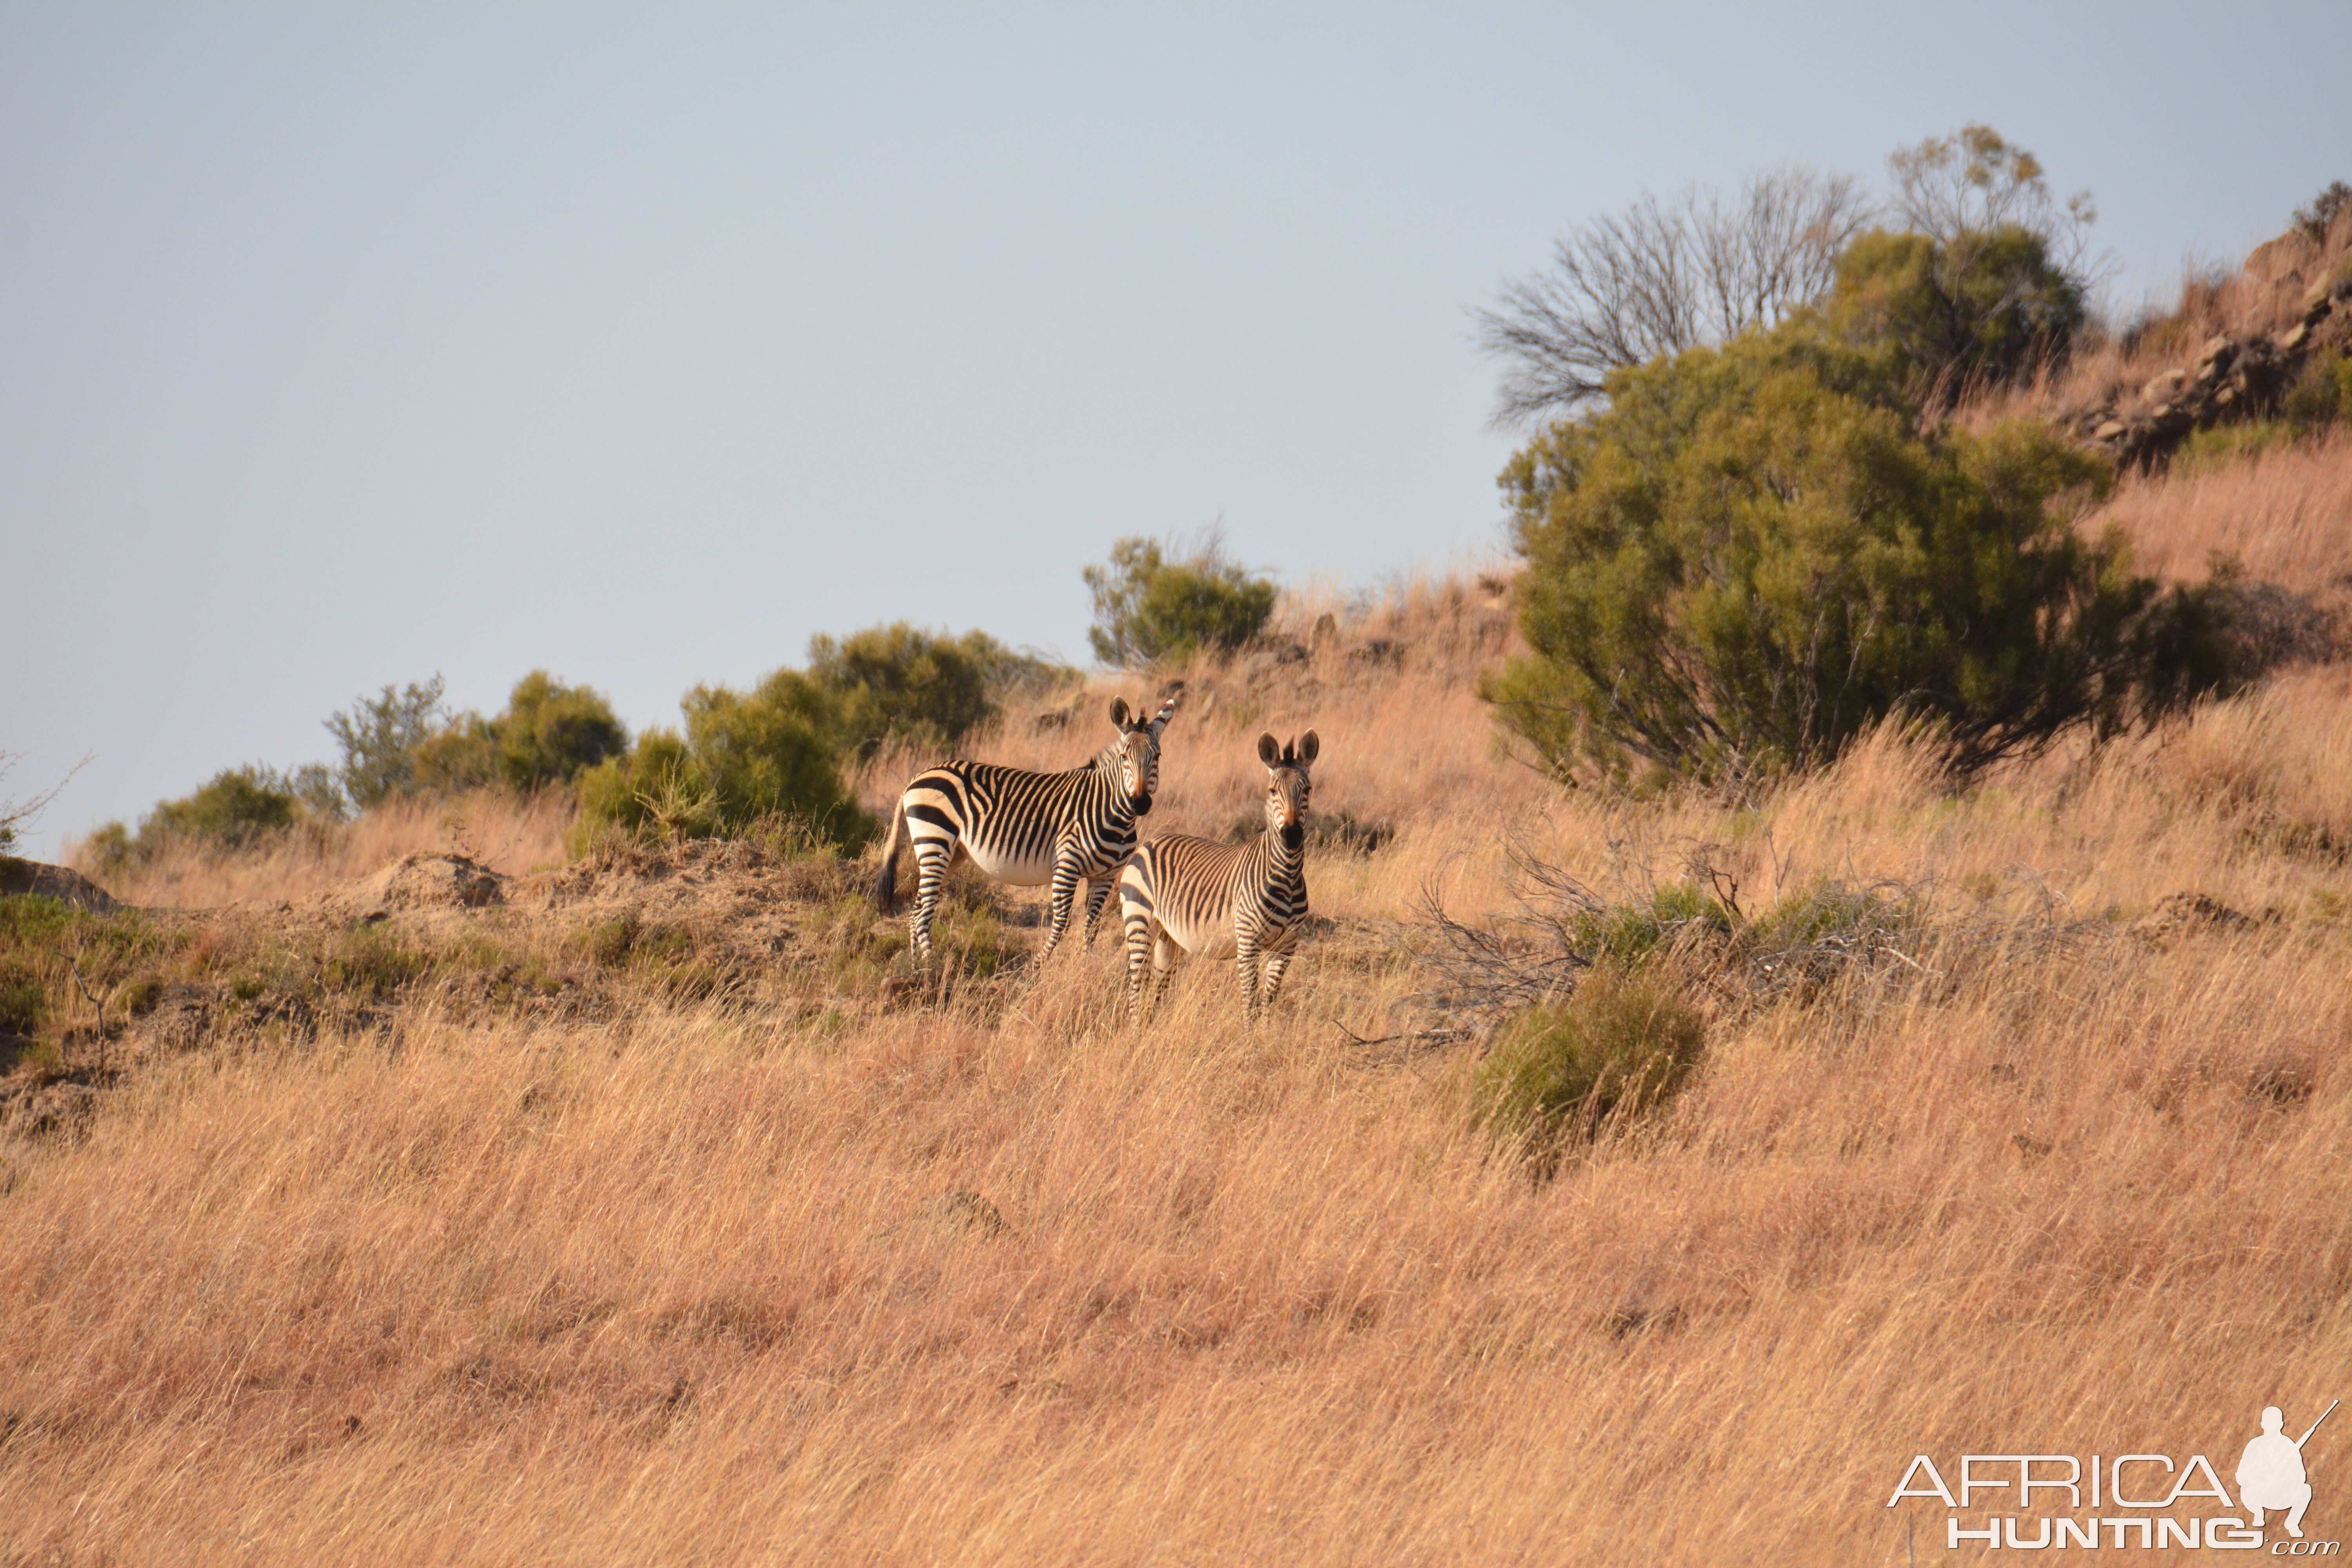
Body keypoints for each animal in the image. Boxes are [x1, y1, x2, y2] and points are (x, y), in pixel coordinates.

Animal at [880, 691, 1185, 964]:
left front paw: (1084, 971)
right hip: (934, 842)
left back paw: (917, 967)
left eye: (1158, 756)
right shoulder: (1067, 864)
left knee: (917, 910)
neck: (1113, 814)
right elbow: (1061, 924)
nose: (1141, 803)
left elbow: (1092, 928)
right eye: (1124, 757)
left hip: (952, 854)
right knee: (924, 913)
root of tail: (918, 776)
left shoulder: (1106, 876)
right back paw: (933, 968)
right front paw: (1037, 970)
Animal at [1115, 729, 1317, 1025]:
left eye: (1307, 790)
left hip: (1168, 938)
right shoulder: (1248, 942)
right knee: (1136, 986)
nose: (1291, 837)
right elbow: (1250, 1003)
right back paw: (1134, 1028)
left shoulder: (1286, 947)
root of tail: (1149, 842)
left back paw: (1149, 1028)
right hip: (1139, 920)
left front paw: (1266, 1033)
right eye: (1273, 792)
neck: (1288, 876)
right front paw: (1249, 1036)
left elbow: (1268, 1003)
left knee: (1156, 989)